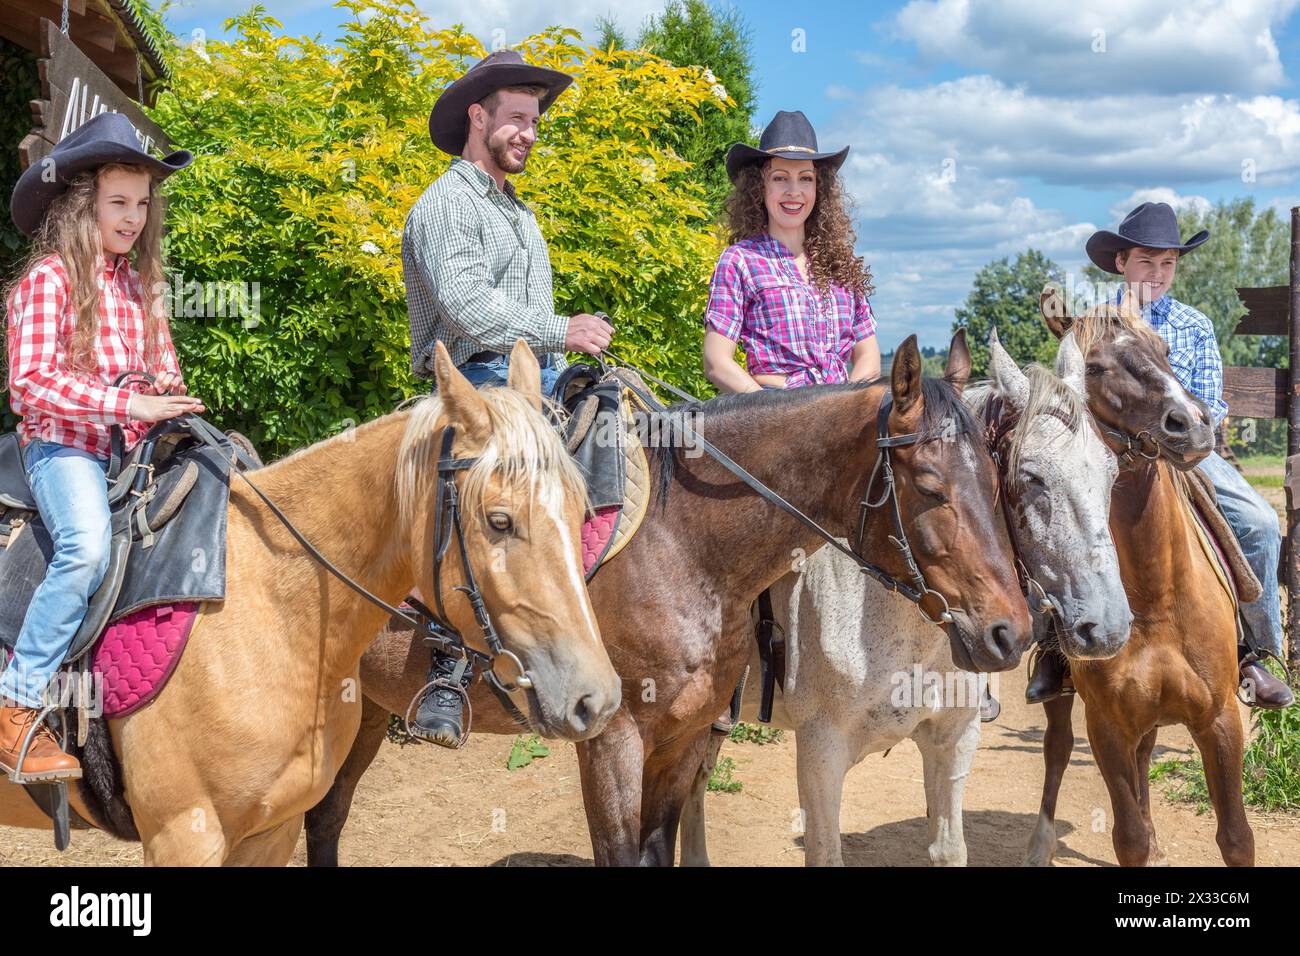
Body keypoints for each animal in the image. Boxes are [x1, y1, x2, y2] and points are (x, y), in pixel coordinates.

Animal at [0, 340, 624, 863]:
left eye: (581, 512)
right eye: (499, 521)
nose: (594, 698)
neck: (273, 614)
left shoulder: (270, 830)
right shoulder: (185, 834)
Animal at [304, 332, 1034, 868]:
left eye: (998, 478)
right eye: (932, 487)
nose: (1010, 633)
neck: (685, 545)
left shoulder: (682, 739)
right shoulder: (613, 741)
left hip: (363, 710)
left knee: (326, 817)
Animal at [676, 335, 1133, 868]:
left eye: (1112, 473)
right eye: (1032, 477)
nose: (1107, 628)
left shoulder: (953, 739)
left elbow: (948, 848)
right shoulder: (820, 754)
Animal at [1019, 299, 1253, 868]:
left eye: (1165, 350)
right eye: (1095, 368)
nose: (1190, 423)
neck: (1157, 595)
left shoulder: (1221, 720)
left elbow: (1236, 837)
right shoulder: (1108, 725)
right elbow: (1128, 839)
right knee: (1057, 750)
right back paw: (1039, 844)